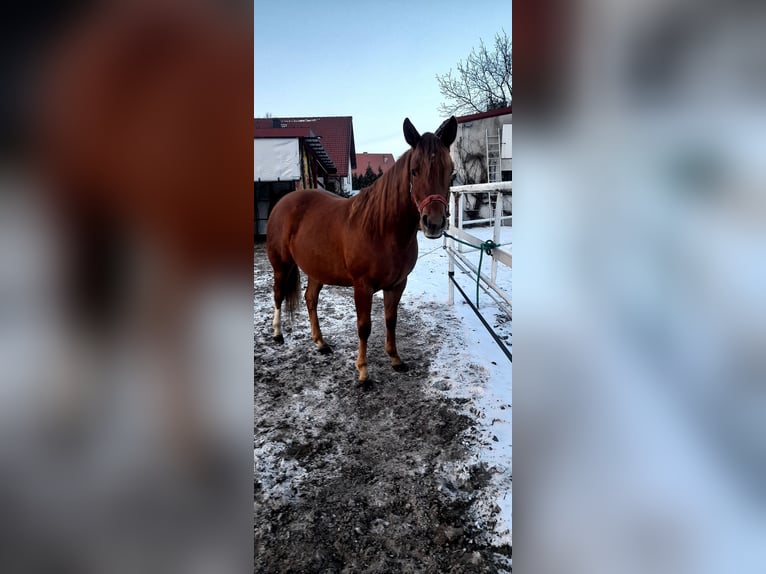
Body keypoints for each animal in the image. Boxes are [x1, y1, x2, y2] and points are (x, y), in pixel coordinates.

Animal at [266, 116, 457, 383]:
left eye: (450, 171)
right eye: (414, 171)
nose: (434, 223)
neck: (383, 230)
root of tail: (283, 202)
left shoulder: (397, 284)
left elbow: (390, 320)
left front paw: (395, 359)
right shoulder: (362, 287)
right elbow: (364, 327)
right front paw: (363, 372)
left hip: (316, 270)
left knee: (310, 299)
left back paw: (321, 343)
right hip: (281, 266)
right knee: (278, 295)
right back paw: (277, 334)